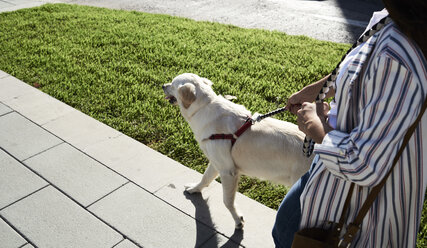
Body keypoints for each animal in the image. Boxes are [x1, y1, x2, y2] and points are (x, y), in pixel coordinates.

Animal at [162, 72, 312, 228]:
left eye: (172, 84)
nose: (163, 86)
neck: (204, 107)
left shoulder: (228, 172)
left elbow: (227, 201)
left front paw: (237, 219)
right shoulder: (218, 162)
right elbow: (205, 178)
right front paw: (194, 189)